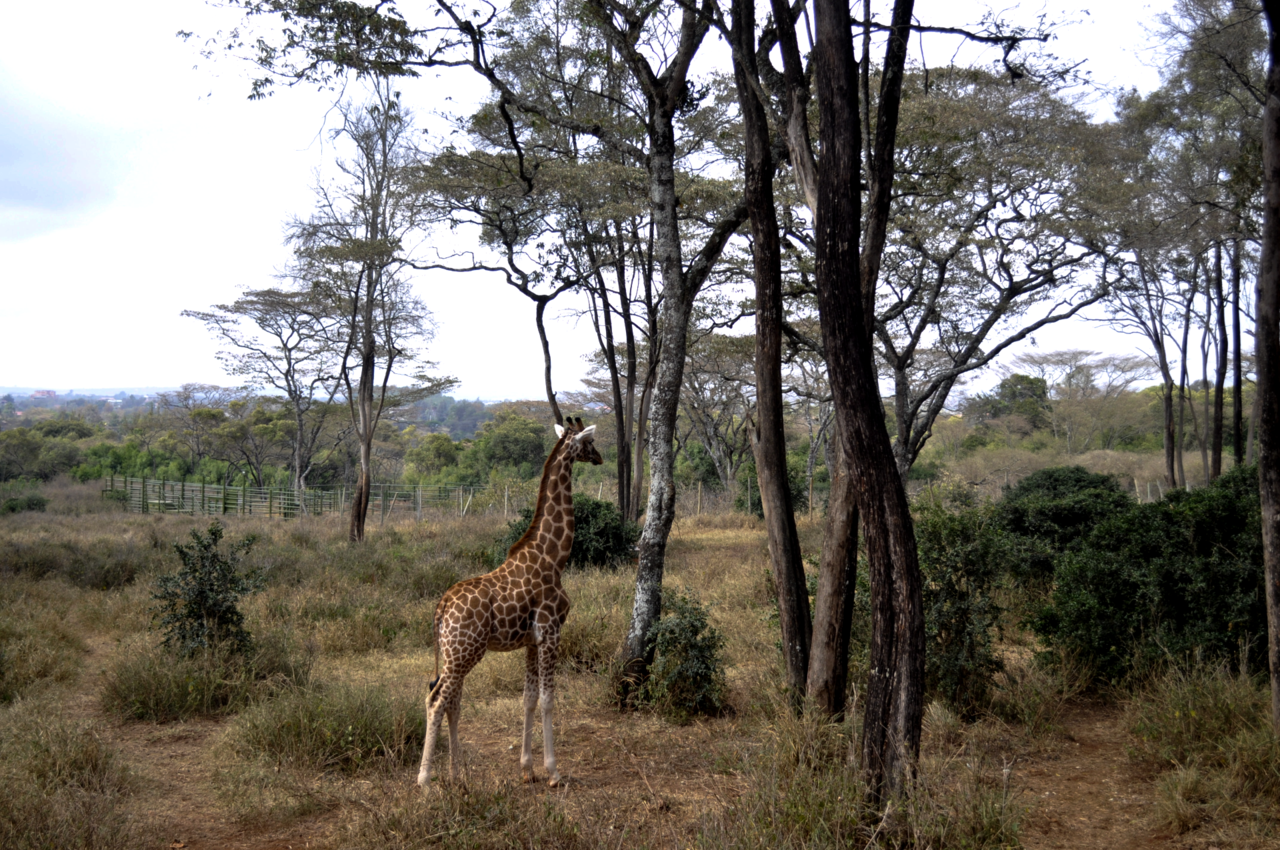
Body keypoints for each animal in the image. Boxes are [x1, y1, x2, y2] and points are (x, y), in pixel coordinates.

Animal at [418, 417, 603, 788]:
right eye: (590, 442)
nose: (600, 458)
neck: (555, 556)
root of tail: (441, 608)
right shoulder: (550, 633)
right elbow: (547, 699)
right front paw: (553, 772)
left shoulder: (531, 641)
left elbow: (528, 699)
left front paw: (527, 768)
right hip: (464, 651)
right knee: (436, 700)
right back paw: (425, 780)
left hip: (455, 653)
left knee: (452, 701)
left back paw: (457, 774)